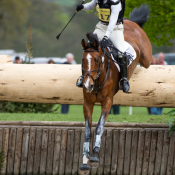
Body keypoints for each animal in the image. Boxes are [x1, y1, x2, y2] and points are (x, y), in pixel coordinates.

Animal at [79, 4, 152, 175]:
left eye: (97, 60)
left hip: (147, 58)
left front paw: (94, 157)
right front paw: (84, 161)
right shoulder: (87, 103)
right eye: (83, 60)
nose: (87, 85)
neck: (98, 80)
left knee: (147, 62)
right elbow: (87, 131)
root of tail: (131, 22)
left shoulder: (107, 102)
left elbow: (99, 127)